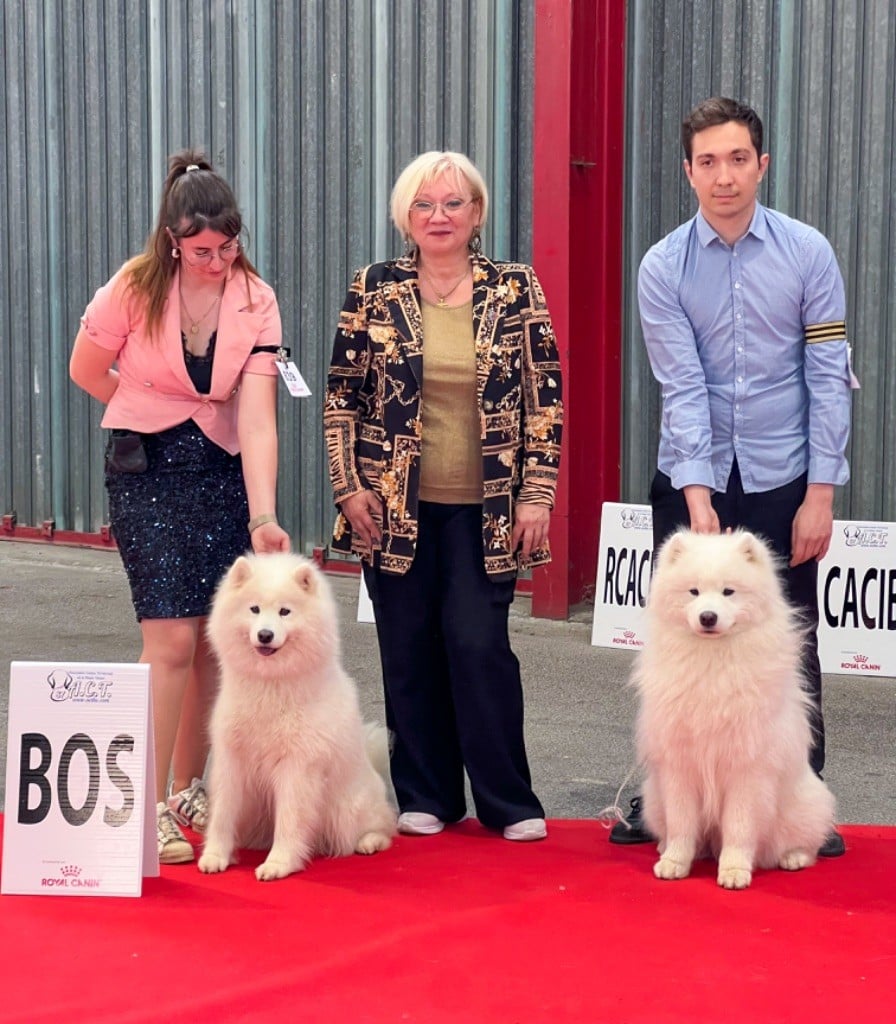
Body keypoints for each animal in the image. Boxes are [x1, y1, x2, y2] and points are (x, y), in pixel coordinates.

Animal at [198, 552, 397, 881]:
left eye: (284, 611)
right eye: (254, 609)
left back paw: (369, 842)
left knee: (384, 825)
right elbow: (223, 813)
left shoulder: (297, 766)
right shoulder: (232, 759)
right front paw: (215, 855)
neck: (271, 685)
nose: (265, 635)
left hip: (347, 808)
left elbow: (290, 820)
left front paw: (279, 863)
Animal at [633, 529, 835, 890]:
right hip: (653, 798)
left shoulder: (746, 769)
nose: (708, 616)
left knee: (805, 841)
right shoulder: (678, 766)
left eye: (728, 591)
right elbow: (682, 823)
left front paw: (734, 871)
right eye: (694, 591)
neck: (712, 662)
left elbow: (739, 827)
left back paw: (793, 858)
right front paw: (674, 862)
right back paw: (665, 846)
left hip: (804, 805)